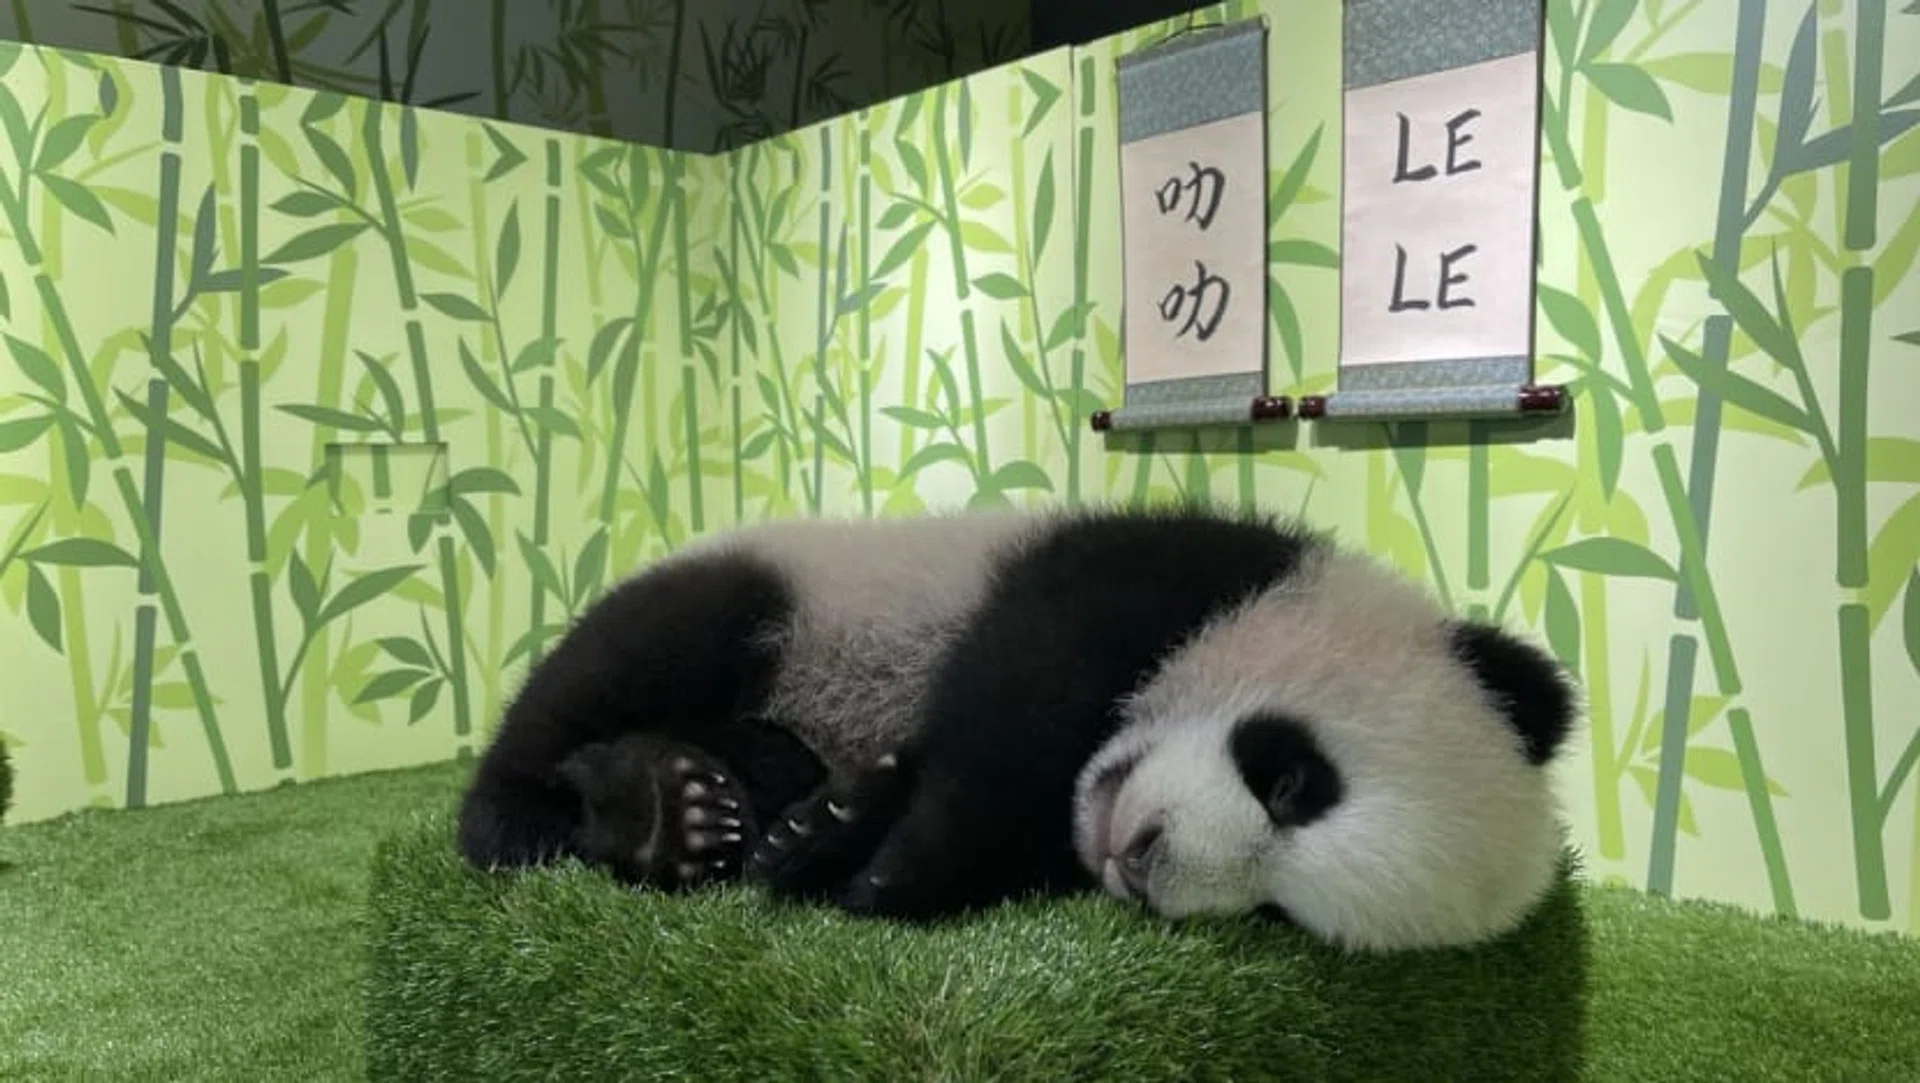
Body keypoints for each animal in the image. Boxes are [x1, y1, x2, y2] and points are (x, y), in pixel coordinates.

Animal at [455, 501, 1577, 953]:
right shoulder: (1162, 564)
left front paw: (838, 834)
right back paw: (536, 812)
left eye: (1278, 915)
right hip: (789, 584)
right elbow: (1021, 684)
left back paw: (679, 811)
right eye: (1295, 780)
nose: (1141, 857)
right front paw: (884, 864)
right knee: (635, 654)